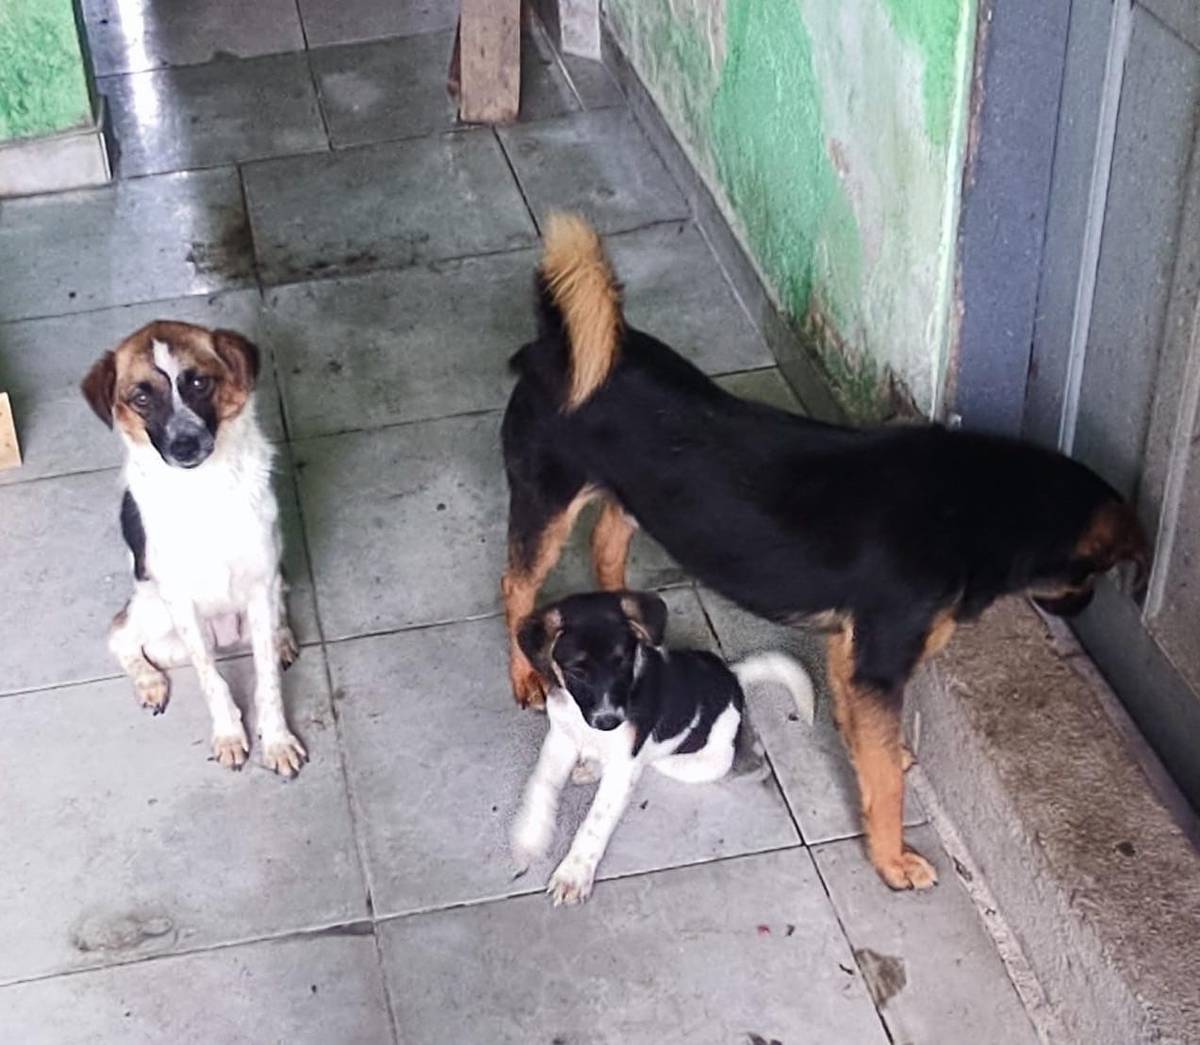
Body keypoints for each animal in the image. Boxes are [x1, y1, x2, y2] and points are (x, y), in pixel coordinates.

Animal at [81, 321, 306, 777]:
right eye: (141, 397)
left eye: (199, 383)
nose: (184, 446)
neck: (203, 487)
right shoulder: (181, 604)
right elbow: (211, 678)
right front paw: (229, 735)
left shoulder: (261, 584)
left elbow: (268, 682)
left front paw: (276, 739)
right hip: (155, 616)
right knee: (120, 635)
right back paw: (149, 682)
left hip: (275, 584)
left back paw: (284, 638)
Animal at [510, 589, 814, 905]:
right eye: (576, 671)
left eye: (622, 662)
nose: (609, 722)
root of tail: (734, 679)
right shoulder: (561, 737)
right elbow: (540, 784)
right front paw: (530, 836)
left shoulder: (624, 761)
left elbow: (596, 821)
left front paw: (574, 873)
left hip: (696, 763)